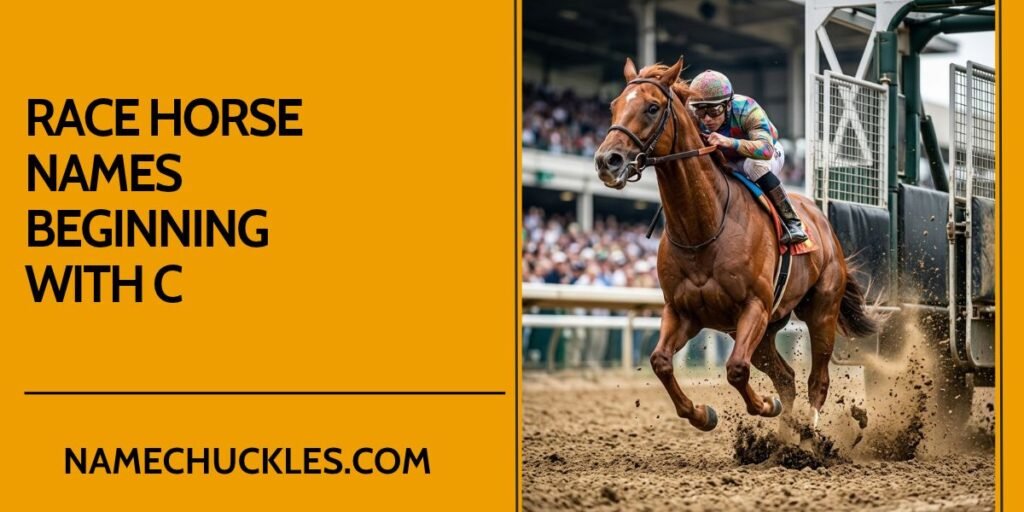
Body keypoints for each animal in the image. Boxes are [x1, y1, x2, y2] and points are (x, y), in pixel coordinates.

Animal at [593, 57, 878, 431]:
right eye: (614, 106)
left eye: (652, 107)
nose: (606, 161)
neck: (702, 229)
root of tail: (824, 224)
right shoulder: (681, 311)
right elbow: (661, 361)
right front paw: (702, 414)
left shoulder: (754, 306)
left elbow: (736, 369)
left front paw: (765, 405)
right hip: (769, 329)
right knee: (786, 377)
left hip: (821, 311)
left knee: (817, 379)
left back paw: (808, 433)